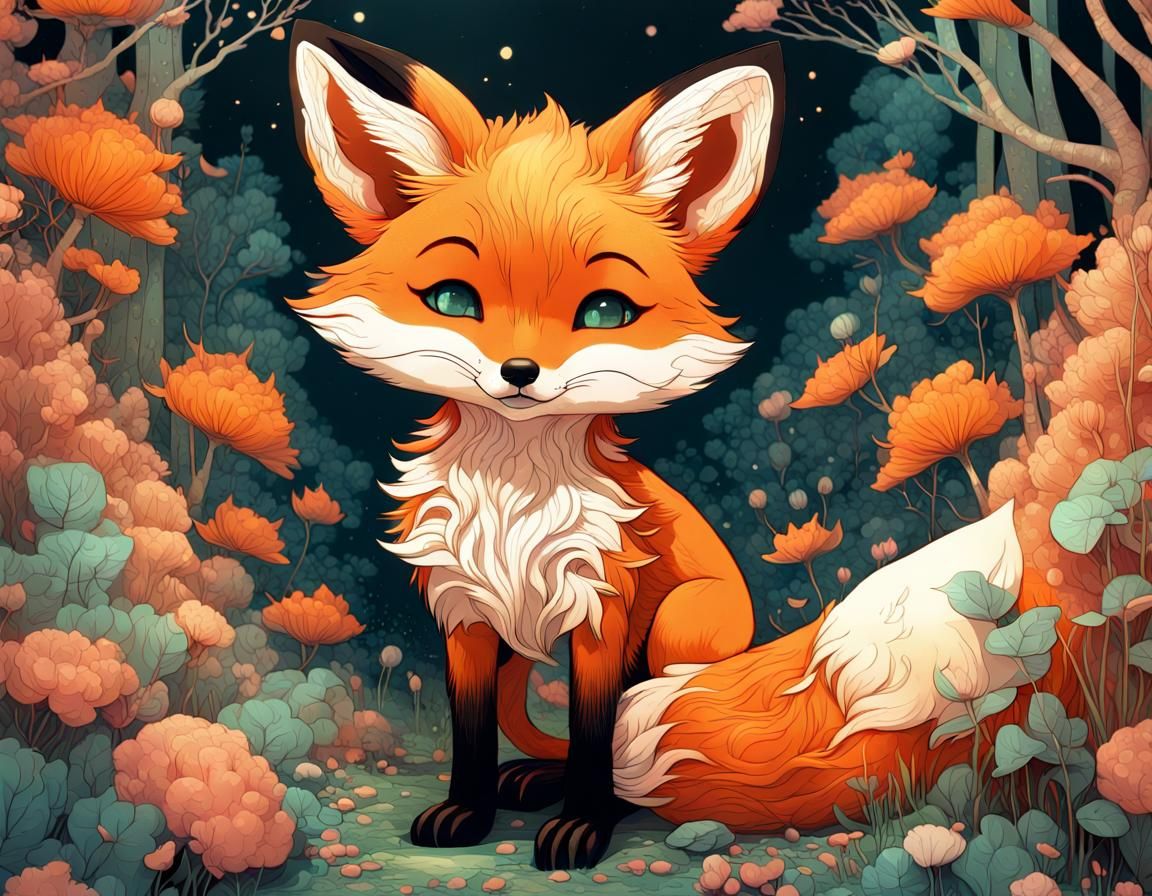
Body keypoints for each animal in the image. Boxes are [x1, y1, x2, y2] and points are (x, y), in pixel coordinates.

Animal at [286, 21, 1079, 871]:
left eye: (605, 310)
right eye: (453, 300)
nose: (519, 373)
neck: (514, 496)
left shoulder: (603, 611)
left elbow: (595, 737)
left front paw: (584, 826)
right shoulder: (463, 617)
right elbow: (471, 734)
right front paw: (465, 811)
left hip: (677, 626)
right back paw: (528, 779)